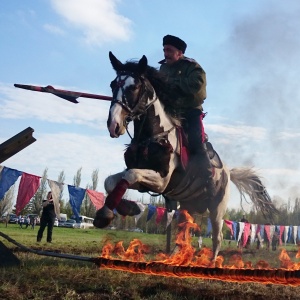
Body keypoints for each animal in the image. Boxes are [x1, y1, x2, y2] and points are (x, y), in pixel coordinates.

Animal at [93, 52, 276, 260]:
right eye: (113, 85)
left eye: (133, 87)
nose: (113, 125)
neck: (154, 136)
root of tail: (228, 172)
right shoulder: (142, 179)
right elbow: (111, 181)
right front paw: (124, 208)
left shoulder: (160, 181)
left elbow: (130, 175)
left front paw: (109, 214)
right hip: (188, 206)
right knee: (184, 232)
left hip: (217, 209)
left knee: (217, 237)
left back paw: (211, 262)